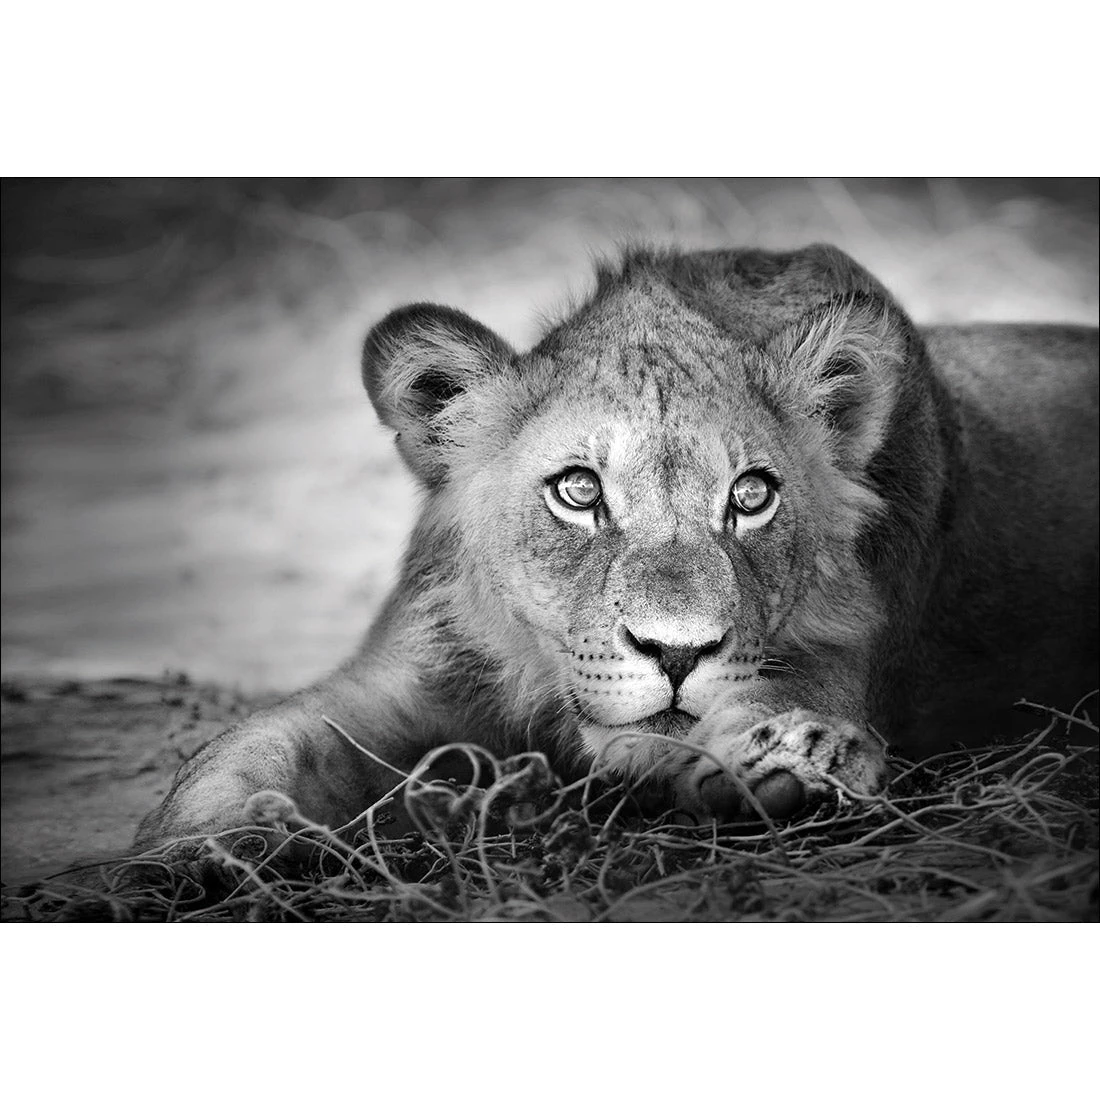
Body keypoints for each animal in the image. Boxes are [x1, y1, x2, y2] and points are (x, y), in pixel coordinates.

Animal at [135, 243, 1099, 850]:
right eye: (578, 490)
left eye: (751, 496)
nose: (677, 652)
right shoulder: (403, 678)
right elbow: (248, 745)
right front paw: (195, 845)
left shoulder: (830, 661)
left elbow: (766, 717)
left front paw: (794, 765)